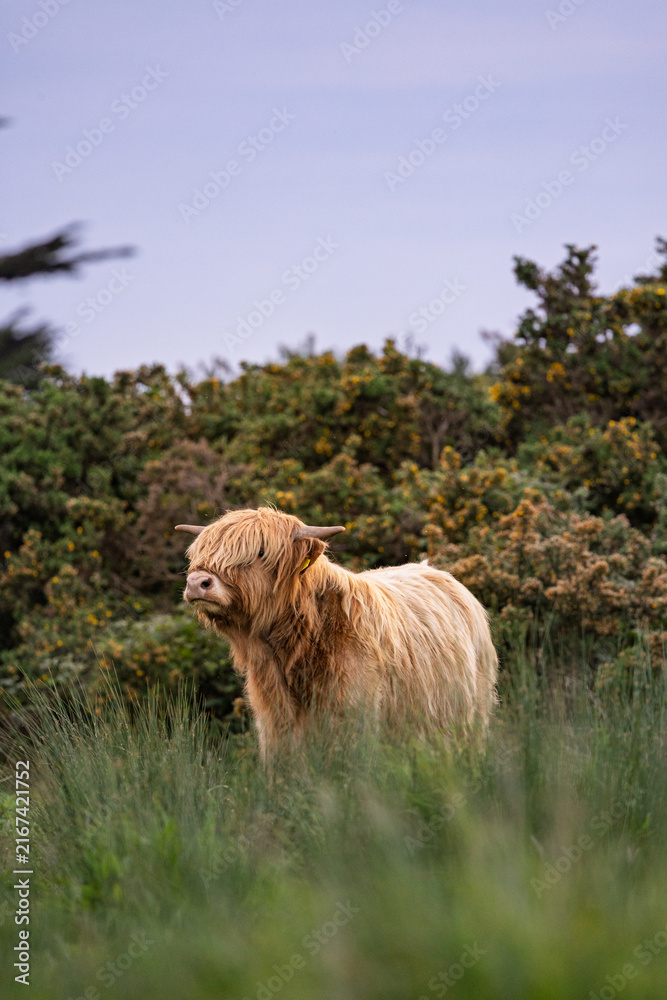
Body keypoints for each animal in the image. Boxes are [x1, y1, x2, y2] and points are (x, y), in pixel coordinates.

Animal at [176, 507, 497, 758]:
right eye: (200, 552)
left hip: (472, 715)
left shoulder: (355, 717)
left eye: (261, 551)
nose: (197, 582)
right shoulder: (274, 721)